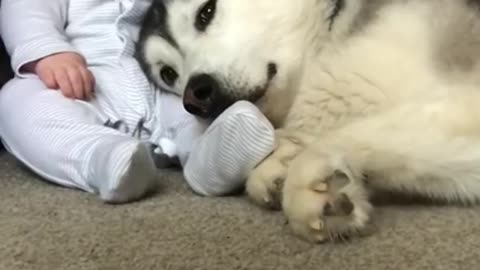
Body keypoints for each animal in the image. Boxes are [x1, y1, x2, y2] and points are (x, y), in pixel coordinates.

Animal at [138, 0, 480, 243]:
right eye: (168, 73)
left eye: (205, 12)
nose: (194, 96)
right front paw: (280, 161)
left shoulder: (464, 98)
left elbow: (347, 134)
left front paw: (309, 169)